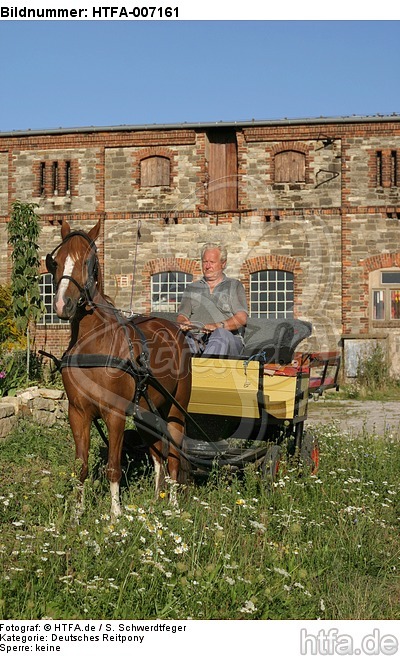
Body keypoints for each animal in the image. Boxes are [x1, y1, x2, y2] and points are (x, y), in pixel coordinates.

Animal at [45, 219, 192, 518]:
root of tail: (174, 330)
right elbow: (81, 466)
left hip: (176, 410)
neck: (94, 345)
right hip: (146, 412)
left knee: (173, 455)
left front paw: (116, 514)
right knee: (158, 455)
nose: (63, 305)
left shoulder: (114, 414)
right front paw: (77, 513)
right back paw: (156, 498)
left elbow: (114, 466)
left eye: (88, 262)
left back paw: (171, 504)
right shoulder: (77, 413)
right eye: (56, 261)